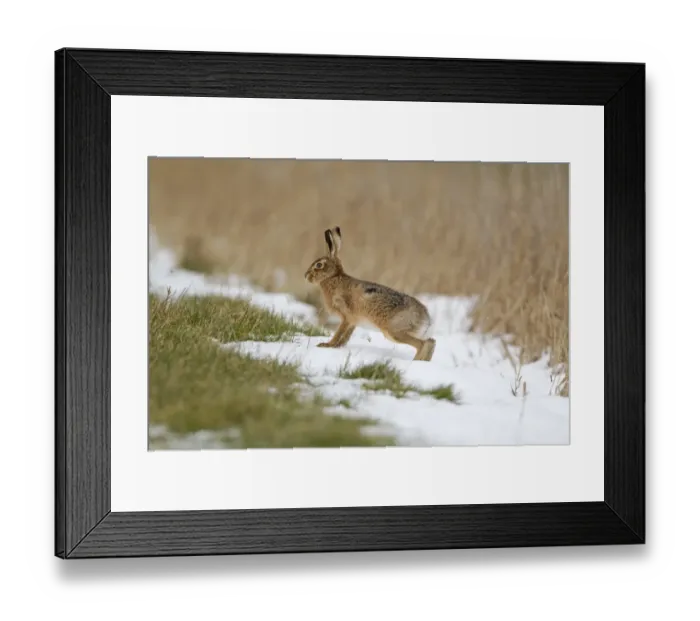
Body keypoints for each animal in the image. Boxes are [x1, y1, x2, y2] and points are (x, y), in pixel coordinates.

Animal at [304, 226, 436, 362]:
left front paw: (327, 345)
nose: (306, 276)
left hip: (394, 331)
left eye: (319, 265)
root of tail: (425, 317)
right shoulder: (353, 321)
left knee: (423, 344)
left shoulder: (346, 315)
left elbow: (339, 333)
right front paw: (338, 346)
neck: (333, 277)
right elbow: (346, 336)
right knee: (431, 341)